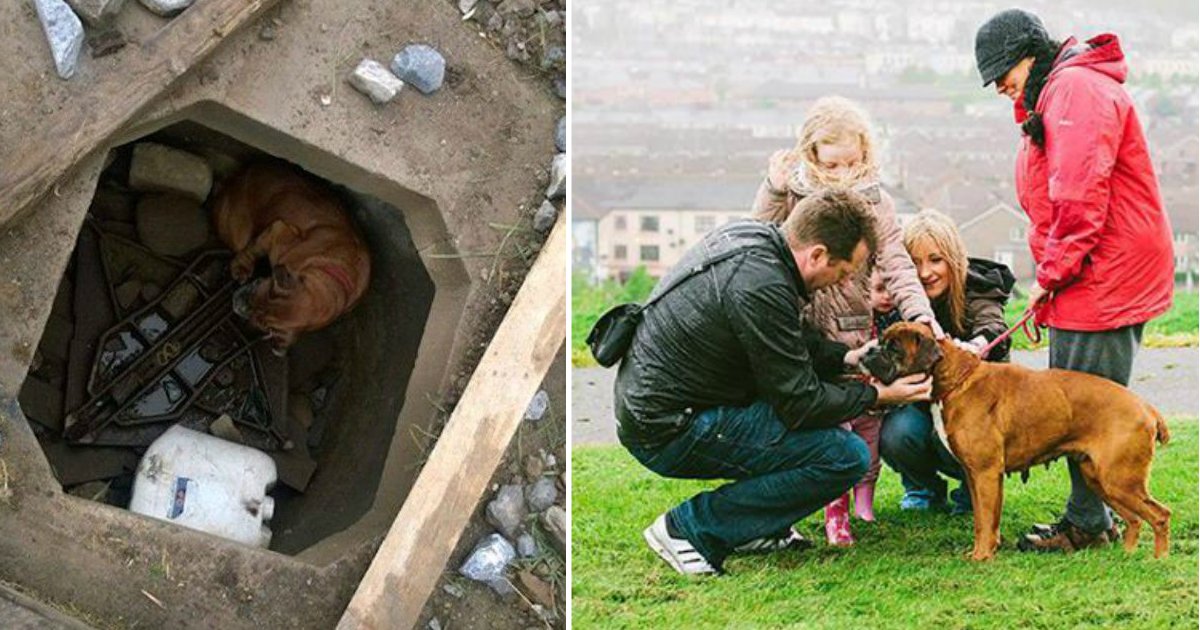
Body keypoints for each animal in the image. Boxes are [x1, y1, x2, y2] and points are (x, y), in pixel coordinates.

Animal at [212, 160, 369, 348]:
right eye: (258, 283)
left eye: (260, 322)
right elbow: (253, 250)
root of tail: (235, 177)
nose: (236, 304)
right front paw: (242, 266)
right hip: (238, 232)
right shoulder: (278, 230)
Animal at [868, 321, 1166, 556]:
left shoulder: (986, 474)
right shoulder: (975, 476)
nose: (870, 350)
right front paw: (984, 550)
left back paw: (1158, 560)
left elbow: (986, 520)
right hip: (1102, 480)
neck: (957, 379)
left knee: (1160, 515)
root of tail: (1147, 408)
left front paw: (981, 557)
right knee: (1135, 519)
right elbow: (983, 521)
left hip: (1119, 480)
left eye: (893, 348)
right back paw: (1127, 555)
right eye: (883, 342)